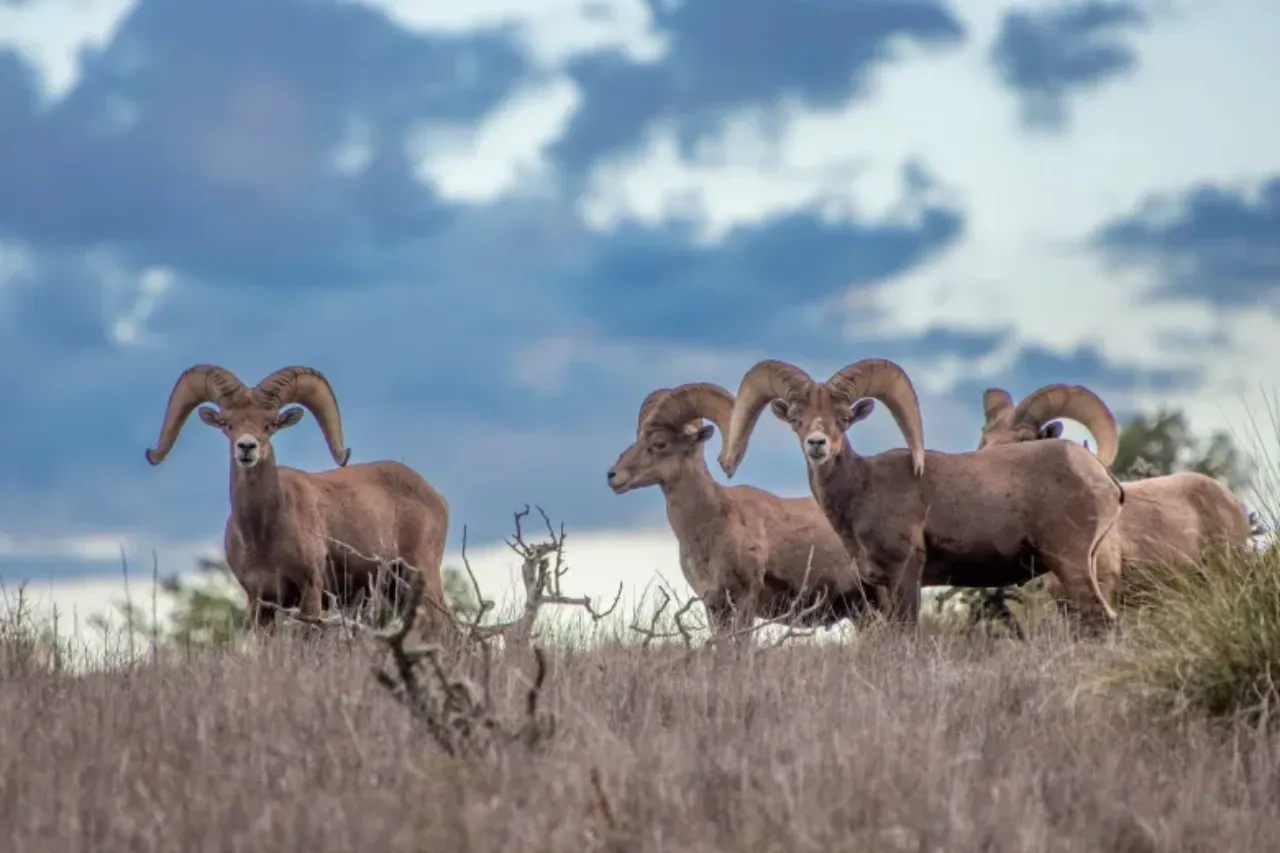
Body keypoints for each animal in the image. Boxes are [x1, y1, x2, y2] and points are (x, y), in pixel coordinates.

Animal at [145, 361, 453, 635]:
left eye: (270, 424)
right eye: (226, 423)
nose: (247, 447)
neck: (262, 536)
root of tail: (436, 496)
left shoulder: (310, 594)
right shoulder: (259, 603)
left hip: (421, 575)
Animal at [604, 379, 885, 630]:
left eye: (659, 443)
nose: (613, 476)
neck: (711, 527)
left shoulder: (745, 601)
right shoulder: (714, 608)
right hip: (861, 611)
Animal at [721, 356, 1131, 627]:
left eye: (844, 418)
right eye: (796, 419)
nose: (817, 444)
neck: (862, 490)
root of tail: (1099, 474)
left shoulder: (905, 574)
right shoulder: (881, 587)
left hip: (1071, 563)